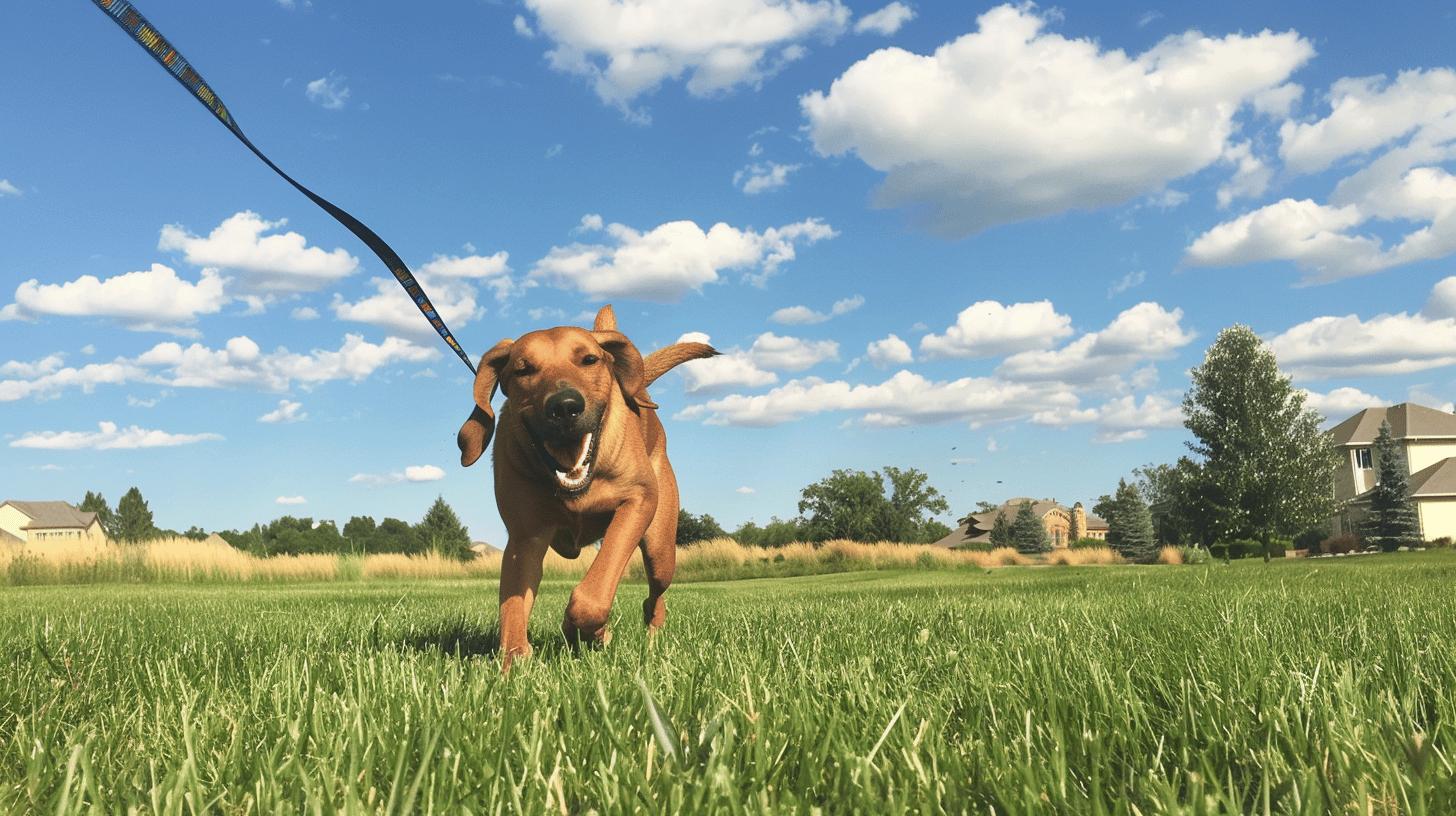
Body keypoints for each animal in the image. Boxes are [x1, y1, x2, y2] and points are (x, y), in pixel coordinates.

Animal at [460, 304, 716, 664]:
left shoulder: (637, 501)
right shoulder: (524, 538)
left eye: (589, 360)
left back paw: (650, 640)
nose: (564, 407)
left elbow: (593, 595)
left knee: (655, 599)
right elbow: (512, 608)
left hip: (660, 548)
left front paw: (583, 632)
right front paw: (514, 661)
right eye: (523, 370)